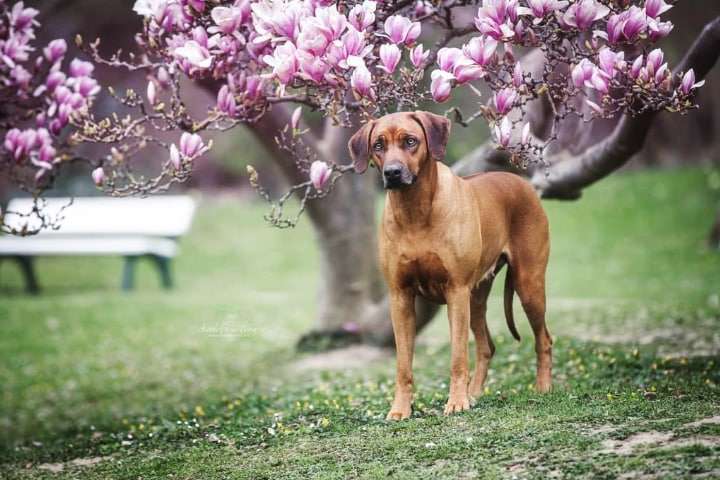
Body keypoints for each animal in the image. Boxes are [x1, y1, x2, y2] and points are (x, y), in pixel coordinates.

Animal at [348, 110, 552, 418]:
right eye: (378, 145)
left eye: (411, 141)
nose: (392, 173)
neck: (413, 209)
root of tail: (520, 180)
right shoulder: (400, 296)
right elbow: (403, 364)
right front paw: (401, 409)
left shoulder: (456, 291)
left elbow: (457, 356)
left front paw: (456, 402)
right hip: (476, 297)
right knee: (487, 346)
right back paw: (475, 392)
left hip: (528, 285)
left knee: (544, 339)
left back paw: (543, 387)